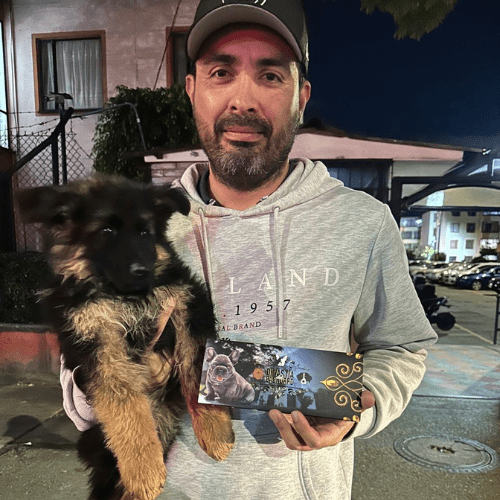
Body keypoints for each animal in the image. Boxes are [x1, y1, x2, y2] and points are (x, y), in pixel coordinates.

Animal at [17, 174, 234, 500]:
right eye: (106, 231)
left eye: (145, 232)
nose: (141, 271)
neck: (123, 296)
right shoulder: (100, 347)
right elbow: (126, 408)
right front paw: (144, 472)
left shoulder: (186, 305)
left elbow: (196, 366)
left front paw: (215, 433)